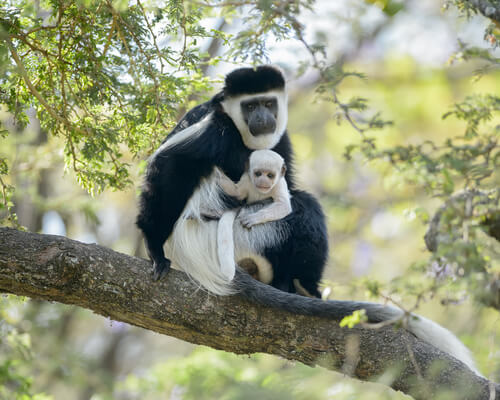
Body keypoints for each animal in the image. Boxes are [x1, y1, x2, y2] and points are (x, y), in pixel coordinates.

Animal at [216, 149, 292, 282]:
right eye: (258, 174)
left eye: (270, 175)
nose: (263, 181)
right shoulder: (246, 180)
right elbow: (237, 192)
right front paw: (216, 172)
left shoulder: (279, 185)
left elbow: (283, 205)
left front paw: (254, 218)